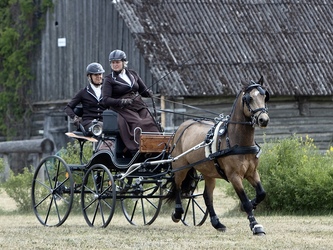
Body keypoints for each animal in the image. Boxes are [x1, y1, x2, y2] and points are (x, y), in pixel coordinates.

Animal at [165, 75, 268, 234]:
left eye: (264, 96)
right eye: (249, 98)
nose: (264, 120)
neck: (236, 141)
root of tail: (183, 126)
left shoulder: (252, 172)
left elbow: (261, 193)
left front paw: (253, 204)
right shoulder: (234, 176)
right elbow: (244, 200)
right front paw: (255, 225)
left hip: (209, 173)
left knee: (207, 196)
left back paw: (216, 223)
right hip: (180, 166)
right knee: (177, 185)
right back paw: (177, 213)